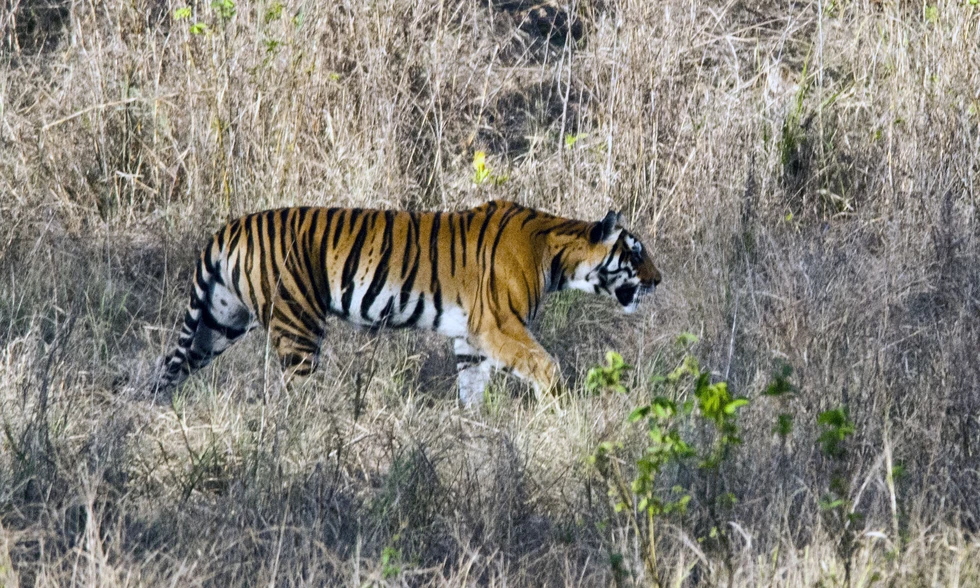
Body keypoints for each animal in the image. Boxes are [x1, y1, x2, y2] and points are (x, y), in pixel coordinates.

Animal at [152, 200, 661, 406]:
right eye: (636, 253)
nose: (659, 280)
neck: (556, 254)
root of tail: (229, 228)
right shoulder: (499, 325)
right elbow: (546, 365)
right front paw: (558, 409)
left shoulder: (472, 338)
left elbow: (472, 389)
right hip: (296, 323)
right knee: (297, 391)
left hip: (219, 322)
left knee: (170, 367)